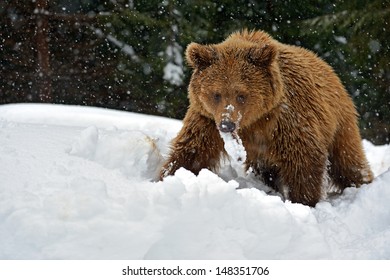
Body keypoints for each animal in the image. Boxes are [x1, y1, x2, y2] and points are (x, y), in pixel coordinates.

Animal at [160, 29, 374, 207]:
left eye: (241, 95)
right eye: (216, 94)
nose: (227, 124)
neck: (253, 122)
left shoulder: (286, 119)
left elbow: (304, 158)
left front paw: (303, 201)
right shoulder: (207, 120)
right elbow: (192, 151)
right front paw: (169, 177)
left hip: (340, 123)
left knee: (347, 160)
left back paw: (362, 183)